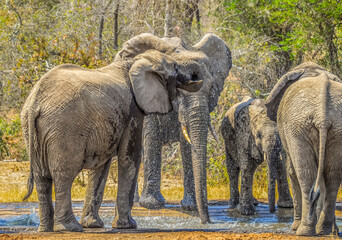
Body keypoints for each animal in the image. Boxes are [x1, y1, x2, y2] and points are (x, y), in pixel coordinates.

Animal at [20, 49, 203, 232]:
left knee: (41, 178)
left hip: (33, 130)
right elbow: (129, 158)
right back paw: (70, 227)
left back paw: (46, 229)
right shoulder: (133, 110)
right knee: (63, 175)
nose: (196, 75)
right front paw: (128, 226)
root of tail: (35, 100)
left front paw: (93, 225)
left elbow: (101, 167)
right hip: (64, 128)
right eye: (175, 67)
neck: (134, 63)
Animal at [115, 33, 232, 223]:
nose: (206, 222)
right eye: (179, 88)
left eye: (211, 88)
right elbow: (151, 136)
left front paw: (190, 206)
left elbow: (187, 143)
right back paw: (137, 201)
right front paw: (152, 204)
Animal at [264, 61, 342, 235]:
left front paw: (293, 228)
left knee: (305, 174)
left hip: (298, 128)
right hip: (335, 128)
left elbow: (292, 172)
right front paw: (333, 232)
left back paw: (303, 231)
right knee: (332, 175)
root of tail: (322, 116)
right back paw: (324, 230)